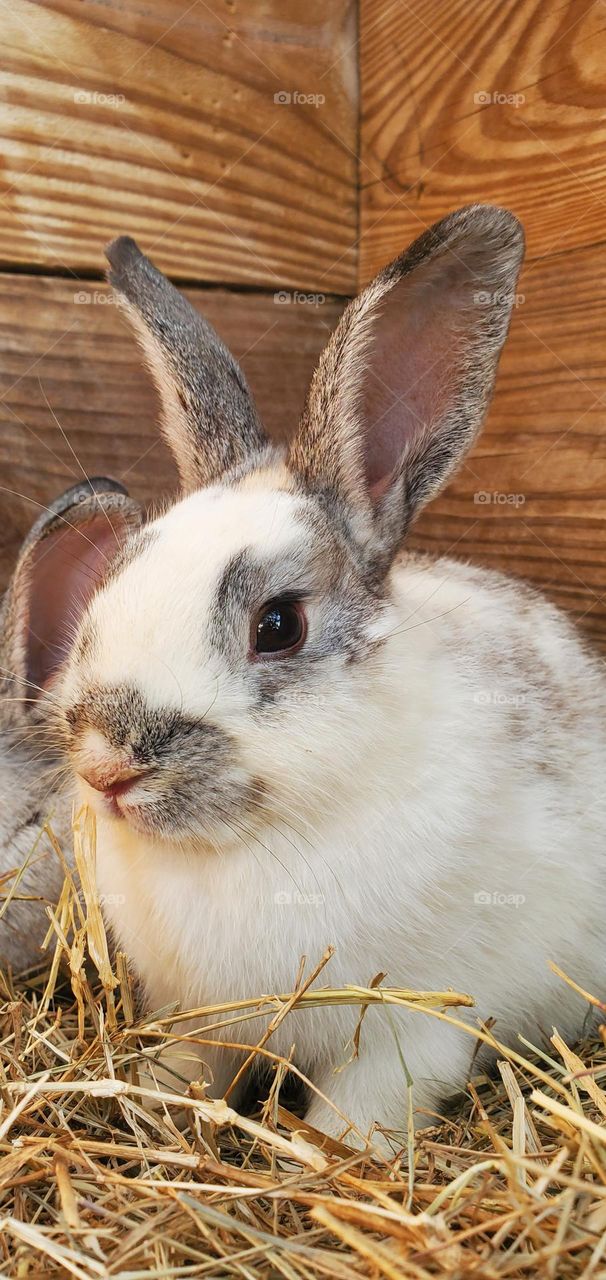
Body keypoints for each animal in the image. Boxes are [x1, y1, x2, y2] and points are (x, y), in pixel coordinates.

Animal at [20, 204, 606, 1148]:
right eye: (117, 579)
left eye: (278, 626)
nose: (108, 771)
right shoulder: (197, 1014)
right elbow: (192, 1068)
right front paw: (158, 1101)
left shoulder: (411, 1028)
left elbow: (363, 1107)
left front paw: (324, 1154)